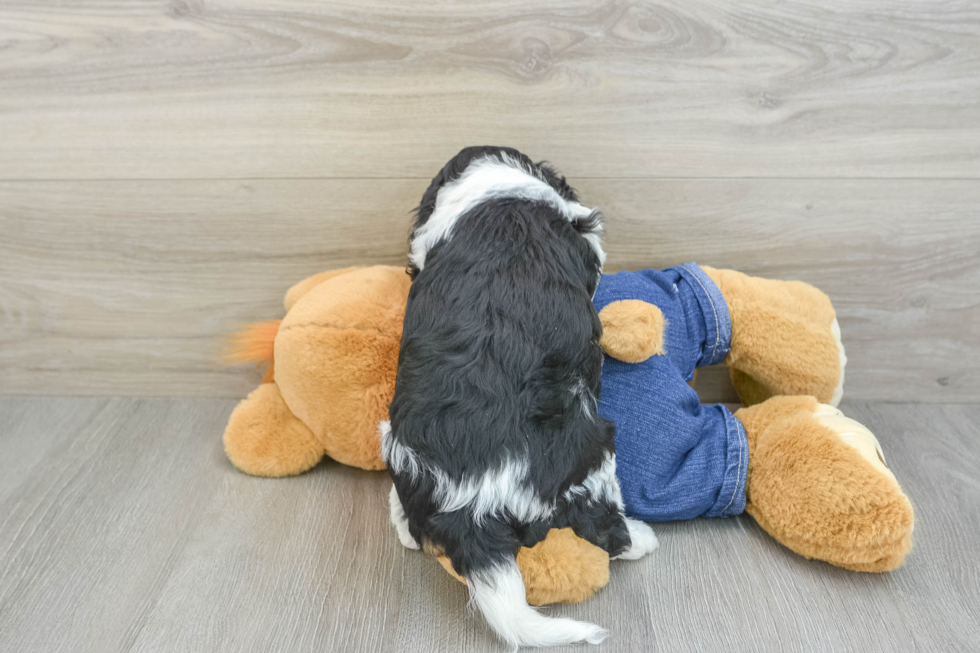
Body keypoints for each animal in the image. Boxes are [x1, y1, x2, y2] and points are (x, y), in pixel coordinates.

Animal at [382, 145, 660, 644]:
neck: (498, 190)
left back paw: (406, 528)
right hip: (592, 452)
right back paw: (643, 539)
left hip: (396, 446)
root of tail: (472, 510)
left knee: (410, 518)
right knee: (604, 526)